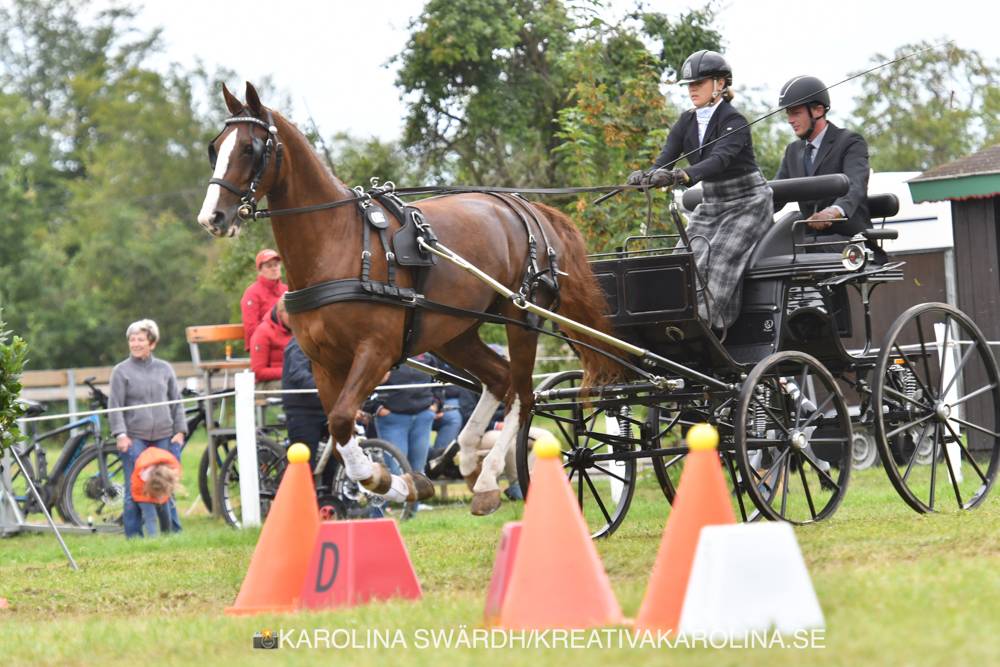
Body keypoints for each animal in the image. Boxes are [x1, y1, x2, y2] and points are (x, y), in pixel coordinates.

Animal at [197, 82, 622, 515]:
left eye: (249, 148)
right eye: (215, 148)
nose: (212, 217)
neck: (338, 243)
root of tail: (525, 206)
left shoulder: (377, 351)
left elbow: (341, 421)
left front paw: (384, 481)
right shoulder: (323, 363)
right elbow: (340, 432)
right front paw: (398, 483)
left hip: (521, 317)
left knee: (522, 392)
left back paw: (488, 478)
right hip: (454, 331)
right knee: (499, 379)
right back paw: (469, 461)